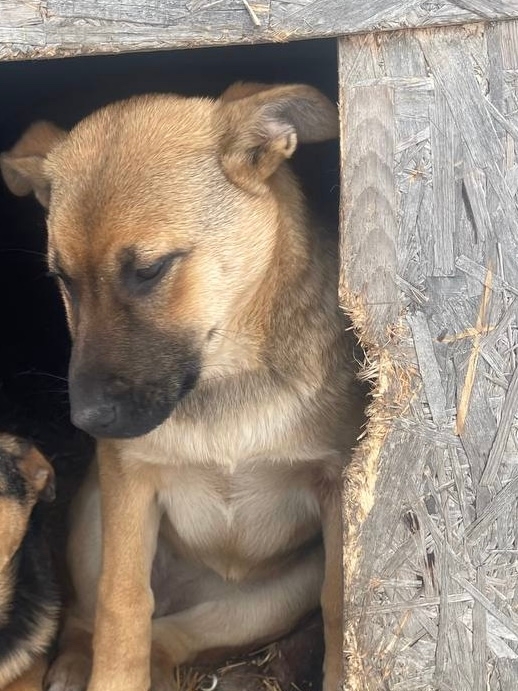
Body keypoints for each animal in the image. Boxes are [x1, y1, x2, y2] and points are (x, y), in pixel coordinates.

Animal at [1, 82, 365, 691]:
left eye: (150, 270)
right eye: (63, 280)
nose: (85, 422)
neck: (225, 379)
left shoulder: (335, 486)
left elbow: (339, 607)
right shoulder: (129, 484)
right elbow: (121, 606)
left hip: (265, 601)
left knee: (174, 637)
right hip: (93, 514)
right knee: (100, 614)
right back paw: (74, 660)